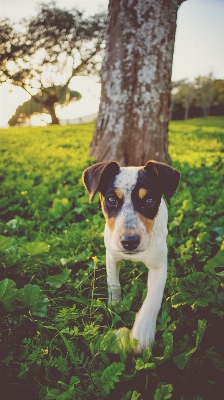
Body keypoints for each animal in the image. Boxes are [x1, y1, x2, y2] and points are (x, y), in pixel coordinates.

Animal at [82, 159, 180, 354]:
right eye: (111, 199)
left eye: (149, 200)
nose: (129, 241)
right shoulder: (111, 255)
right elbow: (114, 283)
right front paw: (115, 305)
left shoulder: (159, 266)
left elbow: (153, 299)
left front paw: (142, 332)